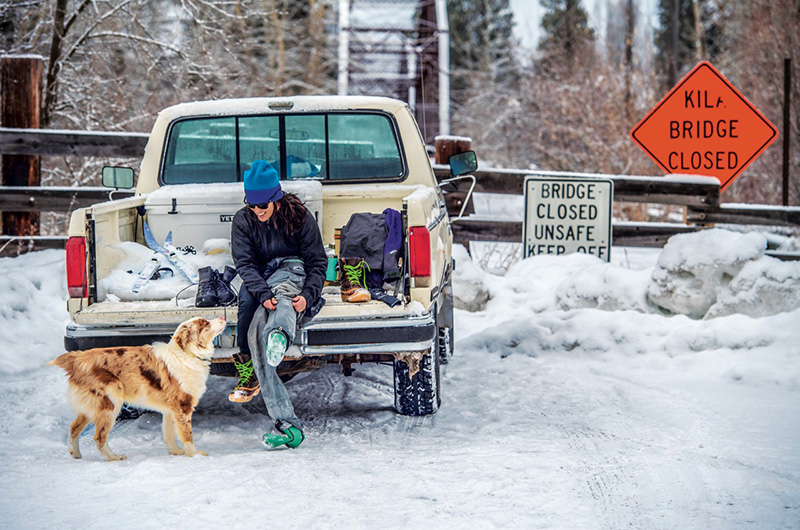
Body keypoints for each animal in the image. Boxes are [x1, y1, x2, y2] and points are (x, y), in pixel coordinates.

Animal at [48, 316, 227, 460]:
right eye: (204, 324)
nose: (222, 317)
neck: (188, 354)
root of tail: (78, 359)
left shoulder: (170, 409)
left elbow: (169, 433)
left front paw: (175, 452)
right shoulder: (183, 406)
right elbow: (187, 434)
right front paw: (195, 454)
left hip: (92, 407)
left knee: (74, 428)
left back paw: (76, 453)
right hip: (110, 405)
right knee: (99, 436)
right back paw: (114, 457)